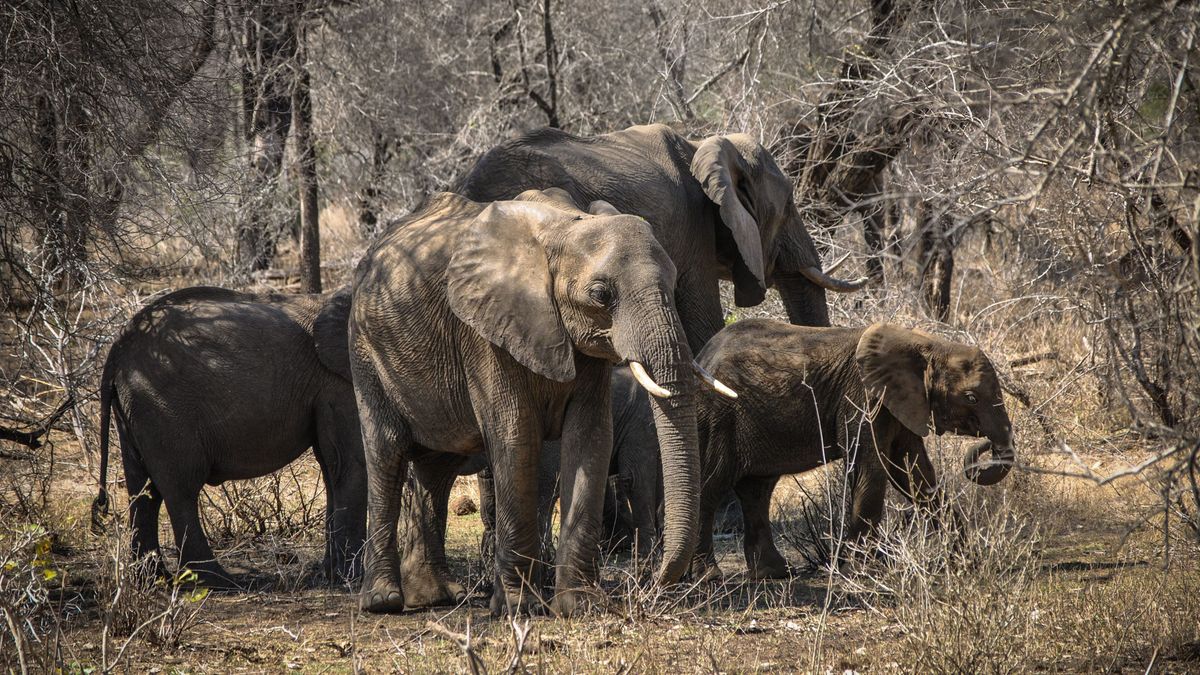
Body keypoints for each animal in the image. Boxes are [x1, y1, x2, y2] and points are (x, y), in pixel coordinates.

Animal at [91, 283, 362, 583]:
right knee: (180, 487)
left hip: (134, 407)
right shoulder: (340, 381)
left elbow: (333, 467)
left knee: (143, 489)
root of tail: (115, 354)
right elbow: (349, 464)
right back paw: (216, 581)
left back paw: (153, 579)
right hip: (161, 406)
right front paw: (351, 579)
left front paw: (332, 574)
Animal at [350, 186, 734, 612]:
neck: (564, 228)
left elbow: (590, 438)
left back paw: (438, 596)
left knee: (438, 467)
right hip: (366, 352)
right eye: (601, 295)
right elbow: (517, 438)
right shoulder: (485, 332)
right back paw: (384, 600)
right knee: (387, 454)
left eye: (673, 281)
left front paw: (581, 605)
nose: (653, 583)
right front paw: (519, 607)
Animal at [691, 317, 1017, 576]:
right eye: (972, 398)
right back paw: (709, 576)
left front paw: (967, 563)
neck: (927, 344)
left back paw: (775, 573)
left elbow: (913, 473)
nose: (986, 445)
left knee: (757, 490)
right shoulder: (864, 399)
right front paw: (862, 570)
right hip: (719, 416)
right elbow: (873, 469)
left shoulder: (902, 403)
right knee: (712, 485)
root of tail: (703, 354)